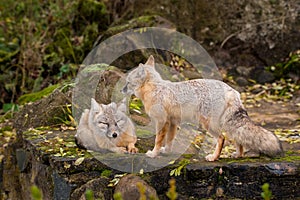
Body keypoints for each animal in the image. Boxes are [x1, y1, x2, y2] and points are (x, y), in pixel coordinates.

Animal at [120, 55, 282, 162]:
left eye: (128, 82)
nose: (122, 90)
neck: (155, 88)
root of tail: (231, 90)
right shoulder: (173, 122)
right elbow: (170, 140)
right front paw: (166, 152)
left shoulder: (161, 121)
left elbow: (158, 140)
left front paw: (154, 154)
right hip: (225, 124)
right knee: (237, 138)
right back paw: (238, 155)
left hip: (208, 124)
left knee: (222, 138)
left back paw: (214, 157)